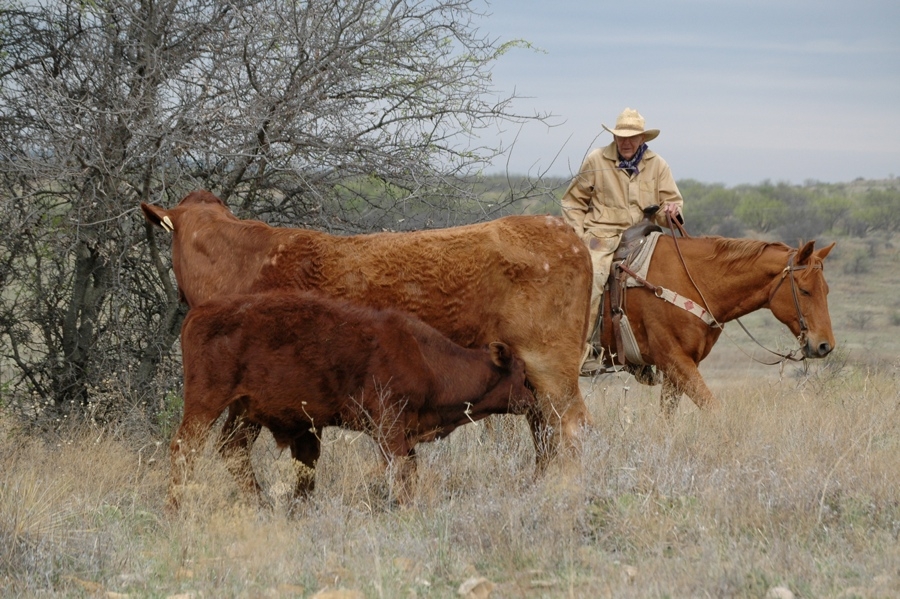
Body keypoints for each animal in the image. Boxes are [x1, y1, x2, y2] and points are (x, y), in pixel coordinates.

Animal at [142, 191, 596, 474]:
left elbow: (238, 452)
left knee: (571, 427)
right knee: (545, 433)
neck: (244, 263)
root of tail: (565, 232)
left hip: (550, 367)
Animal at [169, 292, 532, 508]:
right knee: (184, 450)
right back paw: (175, 509)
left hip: (244, 411)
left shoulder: (405, 433)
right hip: (205, 405)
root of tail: (201, 312)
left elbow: (409, 470)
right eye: (523, 375)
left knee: (232, 450)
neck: (424, 358)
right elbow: (401, 473)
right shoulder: (389, 428)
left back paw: (262, 505)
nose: (534, 399)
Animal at [596, 236, 836, 418]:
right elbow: (713, 409)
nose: (825, 345)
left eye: (826, 290)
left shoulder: (679, 366)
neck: (690, 281)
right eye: (804, 290)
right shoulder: (673, 359)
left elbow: (667, 417)